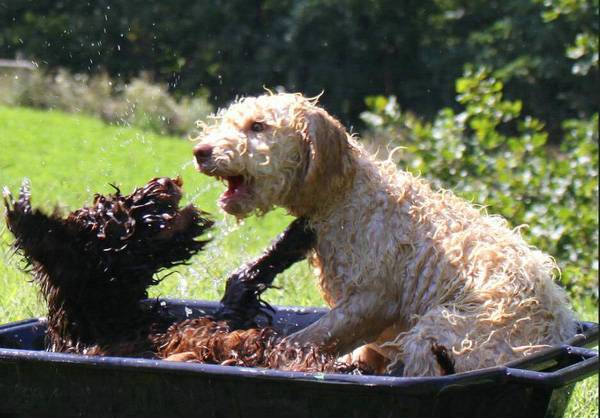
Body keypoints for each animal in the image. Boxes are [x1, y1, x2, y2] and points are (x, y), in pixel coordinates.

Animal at [192, 92, 576, 376]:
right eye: (230, 121)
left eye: (259, 126)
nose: (200, 151)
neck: (346, 195)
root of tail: (555, 334)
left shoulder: (373, 298)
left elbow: (311, 336)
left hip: (441, 330)